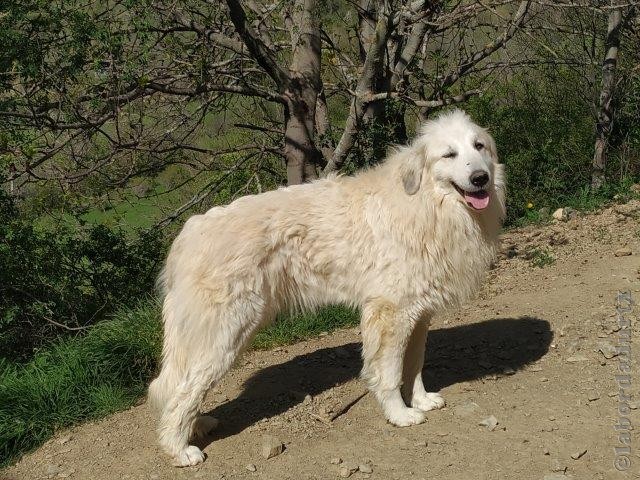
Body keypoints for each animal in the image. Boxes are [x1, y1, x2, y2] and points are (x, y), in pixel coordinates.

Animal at [149, 109, 504, 464]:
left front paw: (421, 400)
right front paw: (400, 415)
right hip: (226, 335)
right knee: (183, 391)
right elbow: (389, 373)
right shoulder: (391, 313)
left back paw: (197, 427)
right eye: (449, 155)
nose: (480, 178)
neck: (425, 204)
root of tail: (187, 235)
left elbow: (414, 365)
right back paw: (179, 448)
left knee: (178, 386)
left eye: (479, 146)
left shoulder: (418, 313)